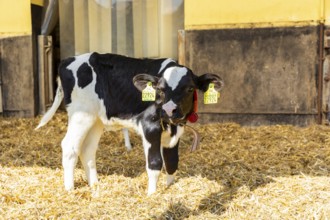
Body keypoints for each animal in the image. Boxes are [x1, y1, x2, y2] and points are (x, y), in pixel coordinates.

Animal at [36, 52, 224, 195]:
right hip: (81, 115)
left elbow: (172, 162)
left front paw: (170, 186)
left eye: (190, 89)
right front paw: (152, 195)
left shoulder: (175, 132)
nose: (169, 110)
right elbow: (155, 163)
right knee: (70, 147)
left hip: (95, 120)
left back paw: (95, 185)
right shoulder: (150, 126)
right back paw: (69, 189)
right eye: (160, 89)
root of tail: (68, 60)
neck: (172, 125)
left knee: (87, 149)